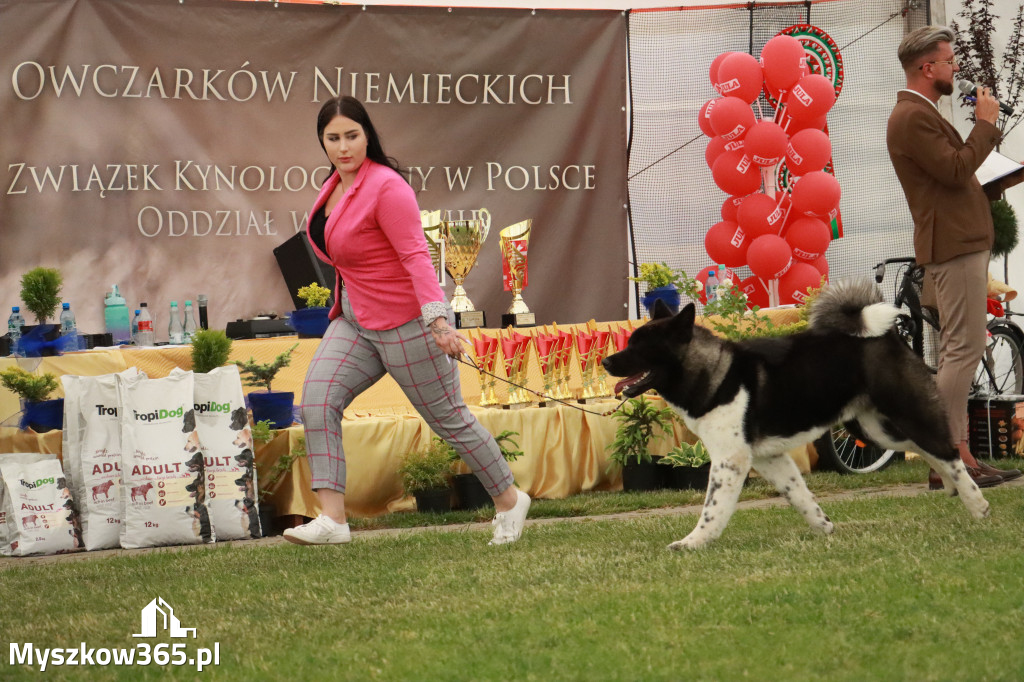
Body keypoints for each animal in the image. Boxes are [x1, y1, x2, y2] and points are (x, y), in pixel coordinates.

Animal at [602, 278, 987, 548]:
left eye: (639, 347)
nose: (605, 362)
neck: (715, 371)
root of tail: (887, 335)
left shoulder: (730, 461)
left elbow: (713, 510)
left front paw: (691, 543)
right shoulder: (770, 458)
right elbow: (798, 495)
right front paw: (824, 527)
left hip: (905, 415)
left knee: (948, 452)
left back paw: (978, 504)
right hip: (880, 430)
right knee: (933, 453)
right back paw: (954, 491)